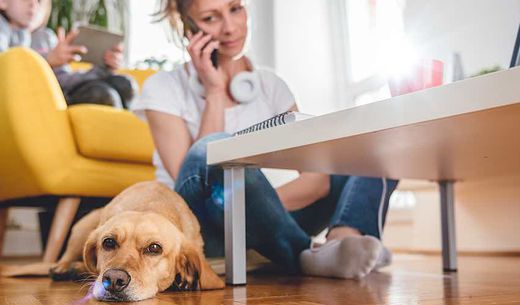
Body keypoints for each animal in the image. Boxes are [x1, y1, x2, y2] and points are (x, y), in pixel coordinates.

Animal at [0, 182, 223, 300]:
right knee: (66, 259)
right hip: (83, 226)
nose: (114, 280)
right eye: (108, 242)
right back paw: (64, 268)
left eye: (154, 248)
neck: (151, 206)